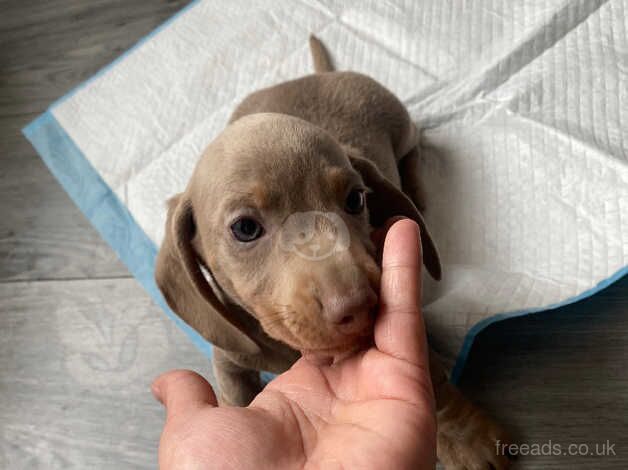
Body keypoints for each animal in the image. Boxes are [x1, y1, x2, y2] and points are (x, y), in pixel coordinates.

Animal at [155, 35, 512, 468]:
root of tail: (313, 75)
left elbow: (433, 382)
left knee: (418, 140)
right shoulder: (229, 356)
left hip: (400, 122)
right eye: (245, 228)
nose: (360, 306)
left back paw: (417, 186)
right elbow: (235, 396)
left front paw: (465, 435)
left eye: (356, 199)